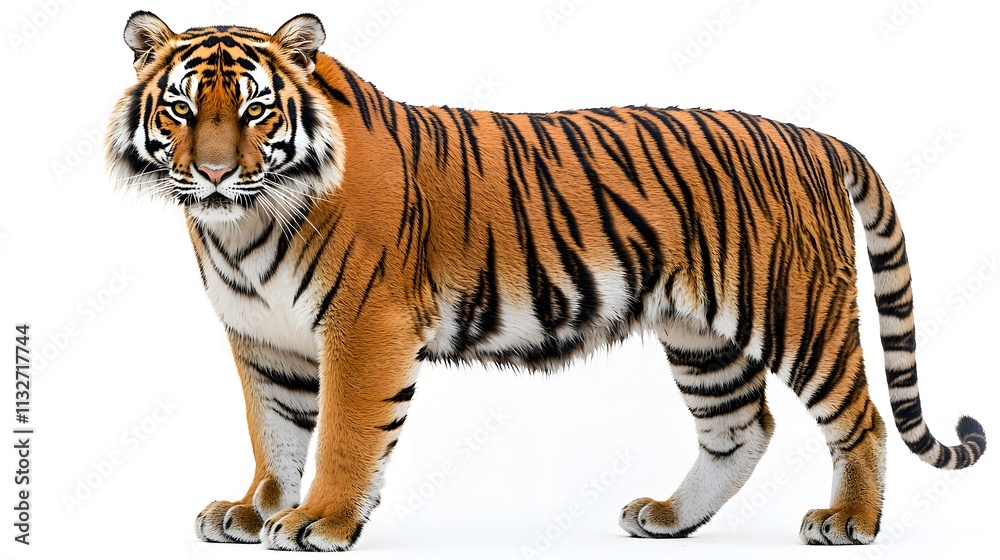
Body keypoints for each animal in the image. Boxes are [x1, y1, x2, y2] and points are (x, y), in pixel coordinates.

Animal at [105, 11, 986, 552]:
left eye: (255, 111)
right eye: (181, 109)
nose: (214, 173)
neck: (240, 226)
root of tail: (818, 137)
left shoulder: (364, 325)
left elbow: (347, 435)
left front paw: (318, 520)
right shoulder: (263, 339)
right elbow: (277, 431)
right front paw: (253, 509)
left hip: (798, 309)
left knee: (861, 418)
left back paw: (849, 522)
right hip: (701, 337)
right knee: (742, 430)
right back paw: (670, 517)